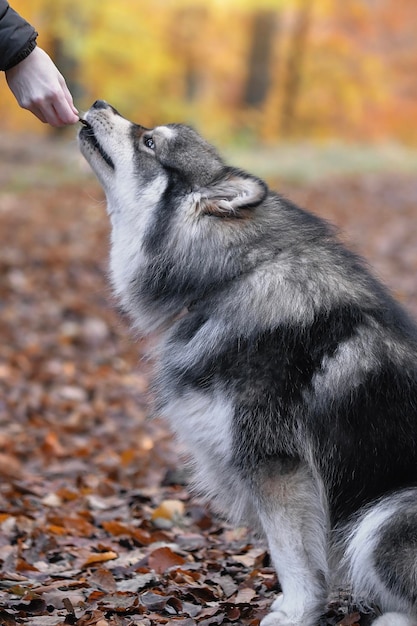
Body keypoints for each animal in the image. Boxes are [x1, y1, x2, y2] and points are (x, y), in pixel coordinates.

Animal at [78, 98, 416, 624]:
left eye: (149, 142)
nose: (97, 103)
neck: (230, 278)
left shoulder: (276, 464)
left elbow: (292, 556)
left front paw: (296, 612)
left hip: (384, 517)